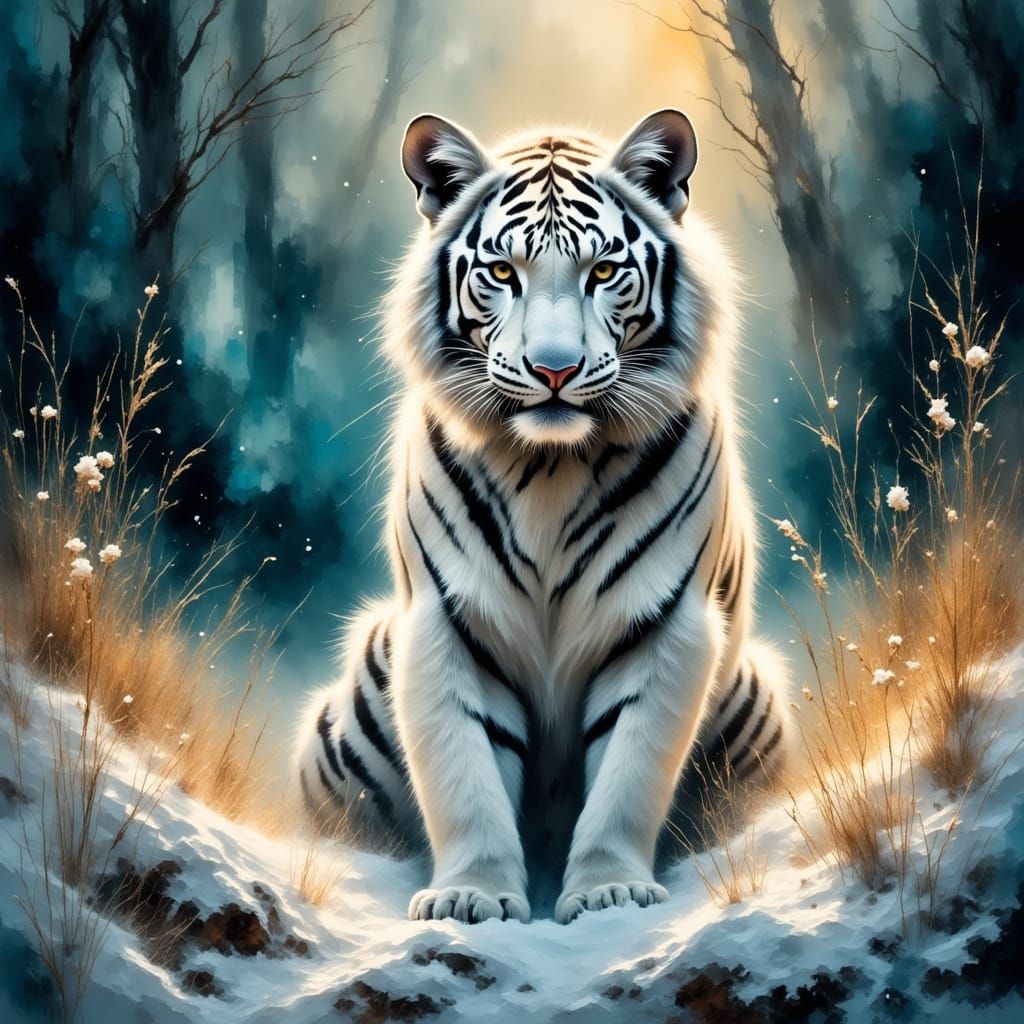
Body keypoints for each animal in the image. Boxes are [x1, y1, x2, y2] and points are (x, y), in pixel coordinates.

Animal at [294, 108, 793, 925]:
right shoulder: (443, 622)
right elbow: (463, 773)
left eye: (603, 273)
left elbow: (629, 775)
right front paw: (470, 897)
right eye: (503, 274)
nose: (554, 370)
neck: (549, 470)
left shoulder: (666, 624)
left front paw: (609, 893)